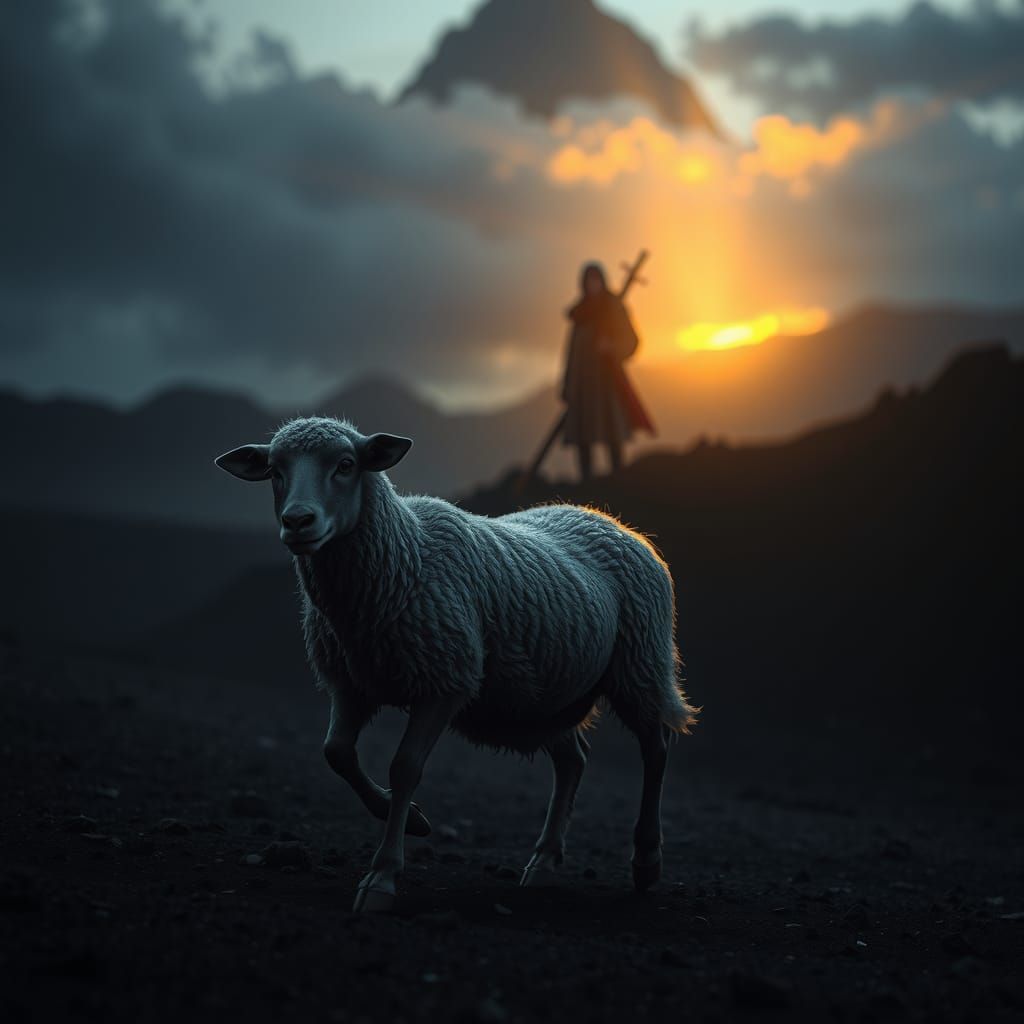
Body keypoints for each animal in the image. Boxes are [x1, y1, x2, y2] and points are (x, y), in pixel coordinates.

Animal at [215, 415, 696, 913]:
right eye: (274, 471)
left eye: (346, 464)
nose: (297, 522)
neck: (403, 557)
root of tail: (612, 522)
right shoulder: (351, 684)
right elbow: (336, 753)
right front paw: (410, 819)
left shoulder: (444, 682)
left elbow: (405, 768)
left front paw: (382, 876)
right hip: (544, 699)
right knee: (573, 761)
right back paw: (544, 861)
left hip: (639, 665)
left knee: (656, 749)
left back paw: (646, 860)